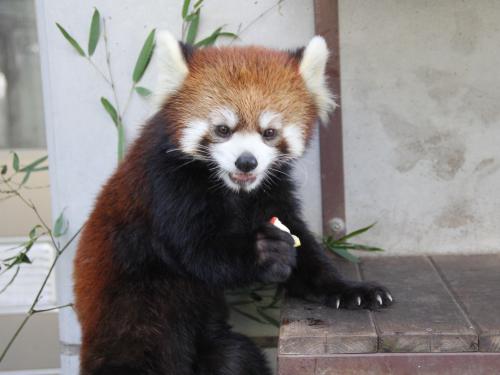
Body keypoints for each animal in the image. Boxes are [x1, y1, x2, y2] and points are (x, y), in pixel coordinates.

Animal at [74, 30, 392, 374]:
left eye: (269, 132)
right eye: (223, 130)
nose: (247, 162)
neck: (233, 190)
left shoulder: (271, 189)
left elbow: (303, 244)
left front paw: (349, 289)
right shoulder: (166, 184)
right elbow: (197, 251)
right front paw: (266, 251)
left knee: (235, 357)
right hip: (133, 311)